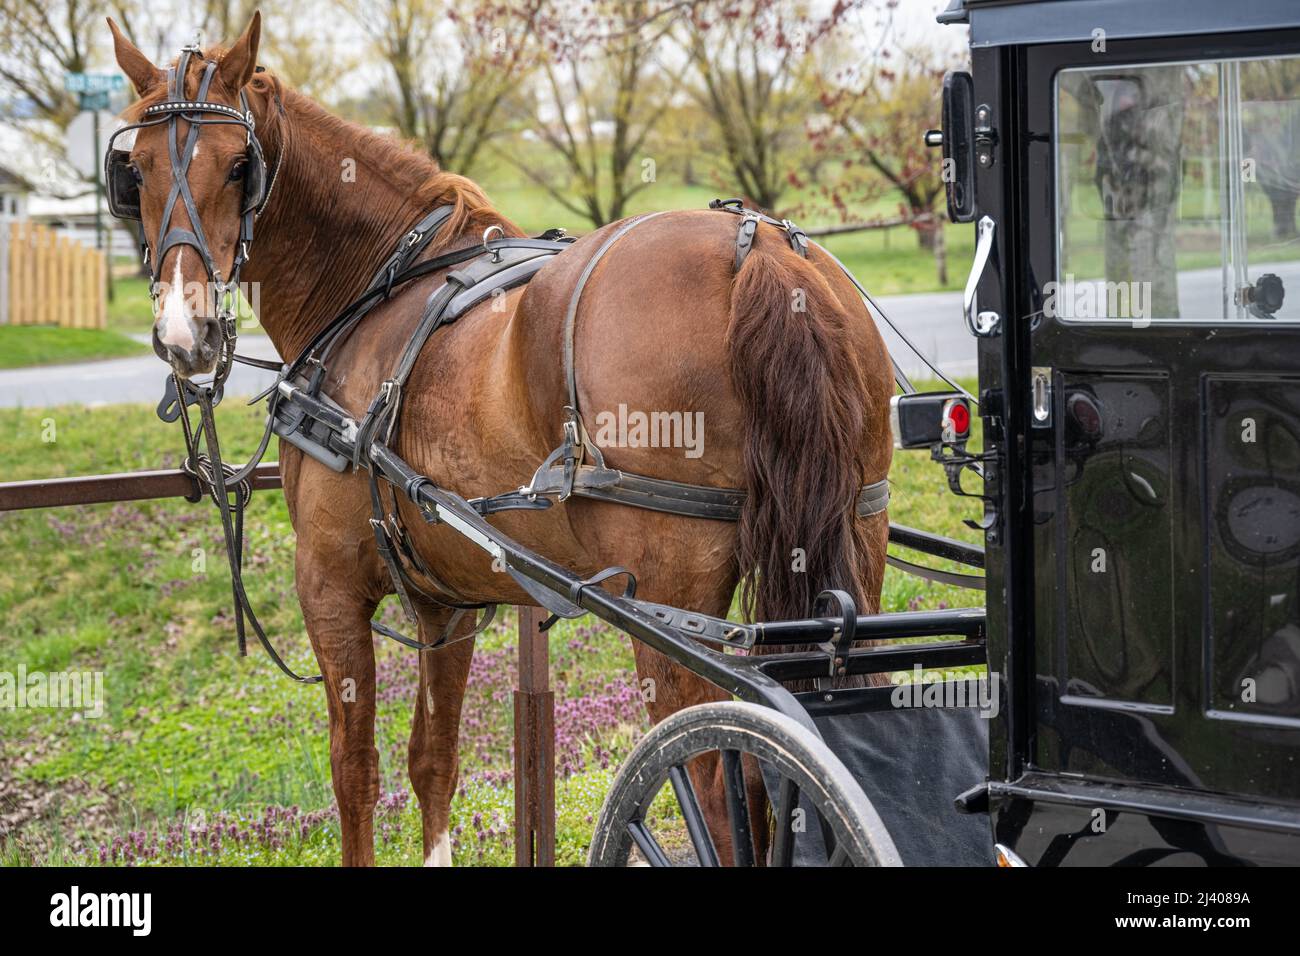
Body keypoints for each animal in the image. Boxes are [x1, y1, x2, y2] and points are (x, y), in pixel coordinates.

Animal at [109, 13, 894, 868]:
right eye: (137, 170)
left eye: (239, 166)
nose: (185, 334)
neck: (378, 286)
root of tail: (759, 249)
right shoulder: (444, 598)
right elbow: (433, 760)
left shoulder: (329, 584)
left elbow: (354, 771)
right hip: (852, 550)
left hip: (675, 607)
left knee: (723, 784)